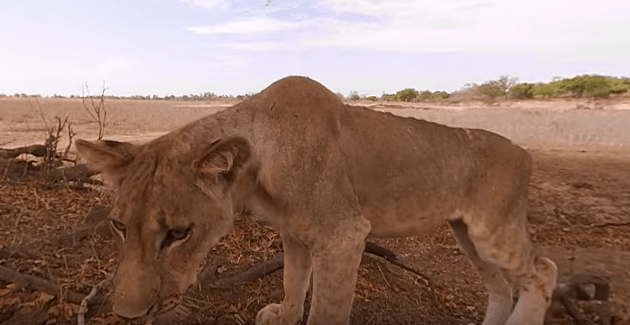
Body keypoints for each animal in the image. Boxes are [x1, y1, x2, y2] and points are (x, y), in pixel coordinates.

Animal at [78, 76, 556, 324]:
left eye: (179, 233)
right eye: (119, 226)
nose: (127, 314)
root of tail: (525, 152)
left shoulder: (344, 235)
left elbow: (326, 308)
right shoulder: (297, 232)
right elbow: (293, 282)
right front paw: (283, 316)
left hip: (493, 229)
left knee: (542, 272)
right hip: (467, 234)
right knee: (501, 285)